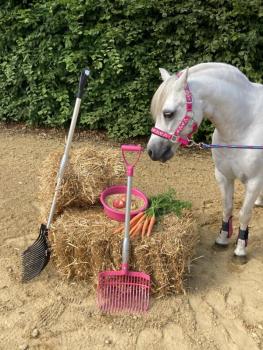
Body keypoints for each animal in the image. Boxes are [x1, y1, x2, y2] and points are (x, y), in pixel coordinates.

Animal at [148, 62, 263, 260]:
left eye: (168, 113)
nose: (152, 151)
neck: (243, 126)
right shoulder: (223, 176)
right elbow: (227, 208)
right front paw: (222, 239)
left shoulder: (254, 181)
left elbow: (244, 214)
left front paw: (240, 248)